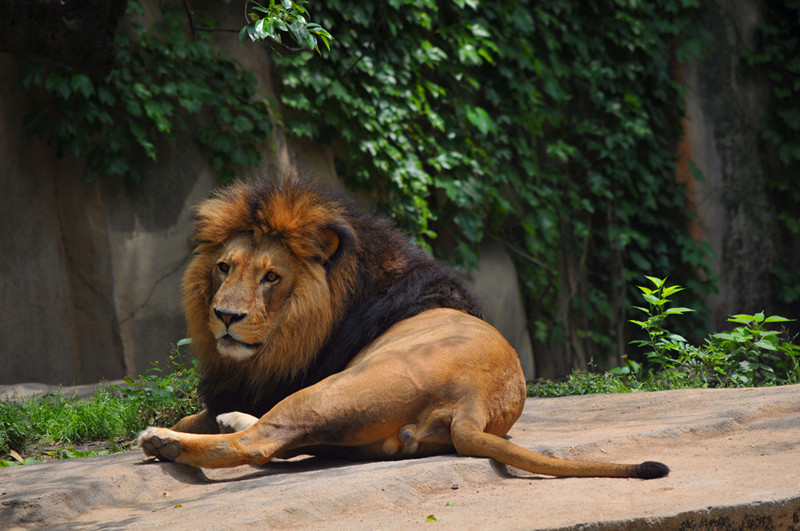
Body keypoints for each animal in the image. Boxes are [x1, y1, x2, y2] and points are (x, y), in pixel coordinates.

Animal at [138, 179, 668, 482]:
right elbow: (201, 413)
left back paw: (166, 442)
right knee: (284, 442)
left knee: (261, 444)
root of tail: (474, 403)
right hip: (361, 434)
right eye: (224, 268)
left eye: (271, 277)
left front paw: (180, 430)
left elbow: (207, 421)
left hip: (334, 389)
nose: (225, 316)